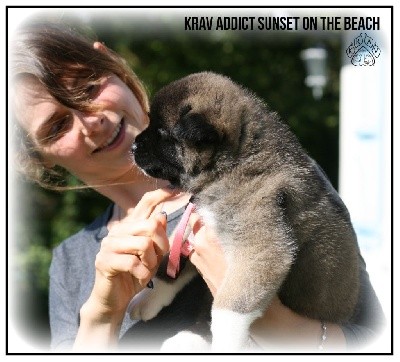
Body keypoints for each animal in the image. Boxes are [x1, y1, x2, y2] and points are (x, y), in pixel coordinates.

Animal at [130, 71, 360, 350]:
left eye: (162, 133)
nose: (132, 147)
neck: (236, 162)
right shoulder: (196, 223)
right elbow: (169, 265)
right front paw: (147, 299)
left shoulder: (260, 247)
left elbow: (229, 308)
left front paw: (225, 342)